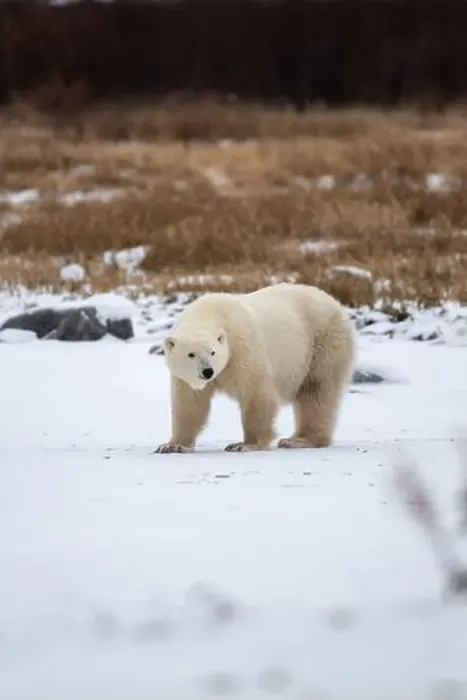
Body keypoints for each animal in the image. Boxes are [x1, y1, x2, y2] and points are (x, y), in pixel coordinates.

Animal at [155, 282, 356, 454]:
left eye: (212, 352)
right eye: (191, 354)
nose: (207, 371)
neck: (210, 312)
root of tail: (336, 304)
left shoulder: (242, 348)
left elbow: (256, 393)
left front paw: (245, 445)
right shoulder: (186, 378)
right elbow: (189, 403)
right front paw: (172, 445)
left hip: (323, 342)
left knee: (316, 391)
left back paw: (299, 440)